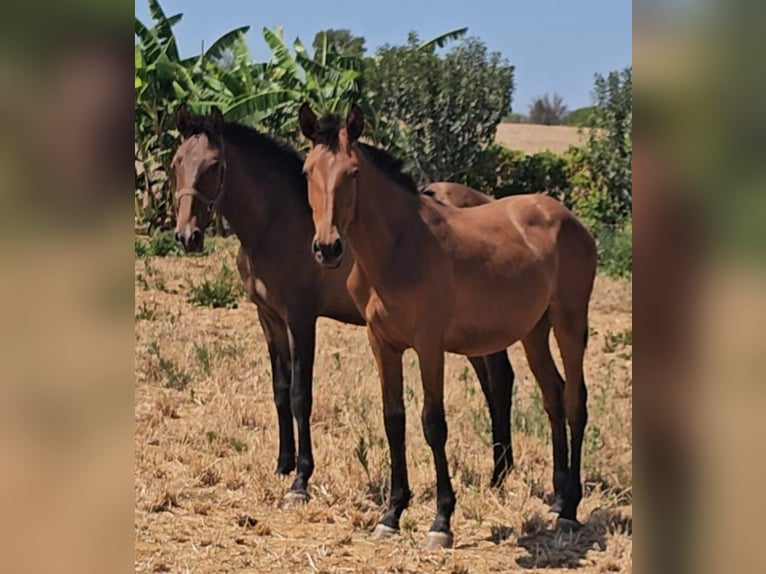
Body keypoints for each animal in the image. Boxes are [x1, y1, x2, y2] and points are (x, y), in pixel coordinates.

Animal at [171, 106, 520, 506]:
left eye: (214, 165)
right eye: (176, 162)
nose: (187, 236)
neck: (276, 221)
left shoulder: (301, 318)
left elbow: (300, 395)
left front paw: (301, 478)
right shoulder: (269, 318)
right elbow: (280, 390)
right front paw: (283, 465)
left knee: (500, 380)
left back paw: (499, 474)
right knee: (493, 382)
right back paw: (500, 470)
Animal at [300, 103, 600, 548]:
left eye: (353, 173)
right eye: (307, 171)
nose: (327, 248)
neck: (399, 247)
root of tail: (570, 220)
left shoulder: (429, 345)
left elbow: (433, 423)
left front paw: (441, 520)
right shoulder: (382, 343)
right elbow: (394, 420)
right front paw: (392, 513)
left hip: (569, 321)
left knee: (575, 400)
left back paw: (569, 510)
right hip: (534, 332)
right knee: (554, 396)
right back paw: (558, 497)